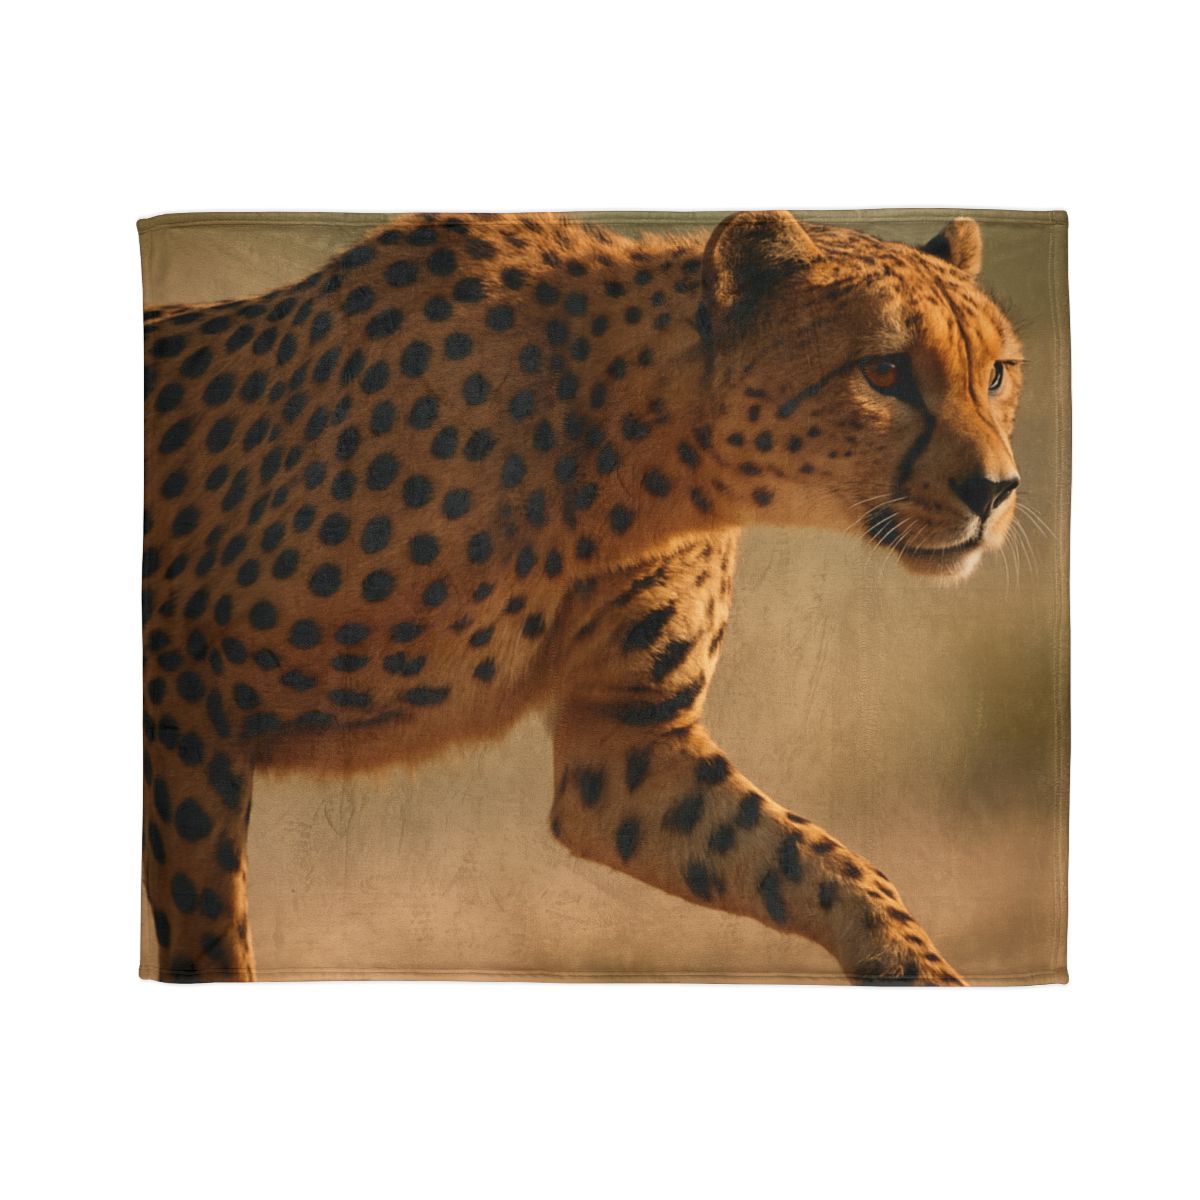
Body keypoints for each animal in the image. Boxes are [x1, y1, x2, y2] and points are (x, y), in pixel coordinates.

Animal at [141, 210, 1023, 984]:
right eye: (884, 372)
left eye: (996, 374)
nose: (995, 491)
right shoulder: (179, 696)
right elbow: (210, 924)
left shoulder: (627, 746)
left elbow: (833, 866)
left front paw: (917, 967)